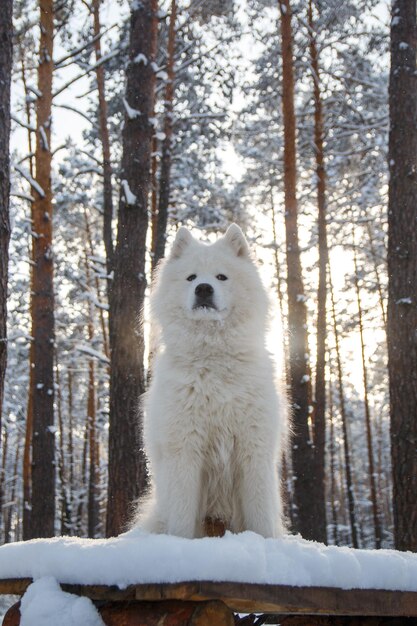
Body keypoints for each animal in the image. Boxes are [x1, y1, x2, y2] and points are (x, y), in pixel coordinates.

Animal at [136, 223, 286, 536]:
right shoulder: (185, 451)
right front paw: (178, 543)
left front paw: (265, 541)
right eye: (191, 277)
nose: (203, 288)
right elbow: (182, 517)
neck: (213, 359)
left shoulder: (253, 450)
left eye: (221, 277)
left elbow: (260, 516)